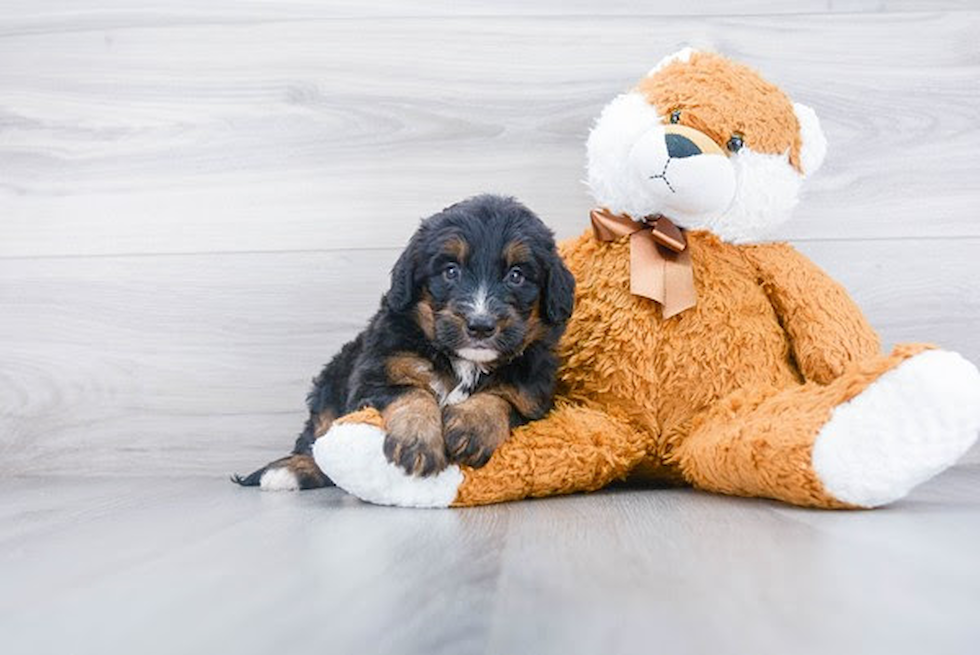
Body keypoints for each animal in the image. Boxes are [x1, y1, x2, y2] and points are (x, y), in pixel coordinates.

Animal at [235, 195, 576, 492]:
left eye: (516, 275)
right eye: (450, 271)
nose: (480, 326)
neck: (463, 361)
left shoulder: (533, 396)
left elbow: (501, 398)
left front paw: (471, 425)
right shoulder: (377, 374)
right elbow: (412, 392)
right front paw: (417, 441)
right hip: (332, 385)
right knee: (317, 440)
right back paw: (290, 470)